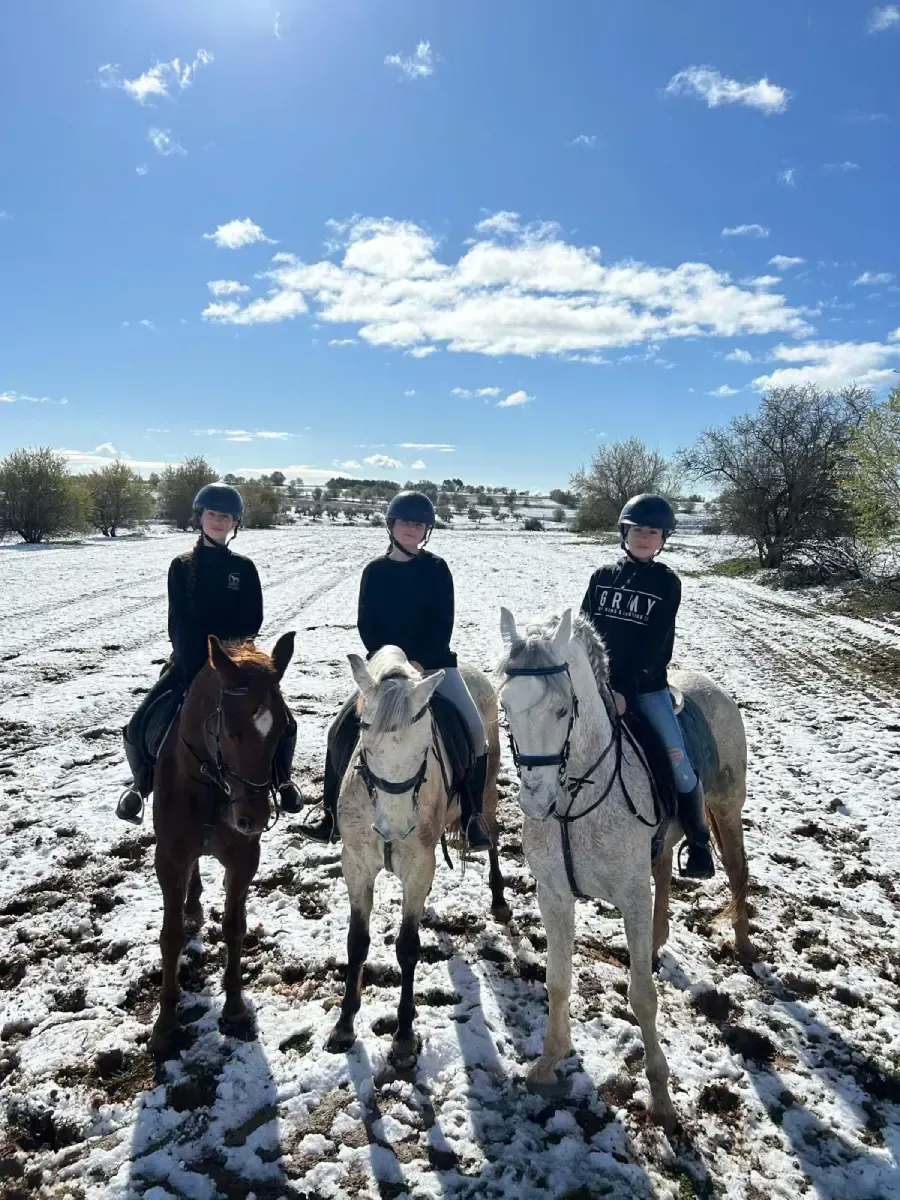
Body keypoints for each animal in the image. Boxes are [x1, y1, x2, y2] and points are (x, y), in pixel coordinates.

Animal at [149, 632, 295, 1054]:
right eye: (230, 730)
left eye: (283, 728)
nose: (254, 817)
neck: (212, 787)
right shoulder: (169, 858)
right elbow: (171, 937)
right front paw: (165, 1025)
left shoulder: (245, 856)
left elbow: (234, 926)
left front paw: (234, 1007)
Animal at [326, 646, 507, 1068]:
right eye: (364, 737)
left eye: (426, 744)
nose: (394, 828)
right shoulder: (356, 865)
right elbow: (356, 941)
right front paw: (344, 1024)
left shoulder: (418, 866)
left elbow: (408, 947)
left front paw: (404, 1037)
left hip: (488, 793)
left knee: (492, 839)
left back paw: (499, 899)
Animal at [496, 607, 751, 1133]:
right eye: (505, 706)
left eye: (561, 710)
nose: (535, 801)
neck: (575, 802)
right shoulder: (553, 893)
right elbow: (557, 979)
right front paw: (548, 1063)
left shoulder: (631, 896)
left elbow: (642, 998)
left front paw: (661, 1099)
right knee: (665, 873)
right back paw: (656, 942)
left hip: (726, 805)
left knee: (738, 872)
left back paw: (742, 941)